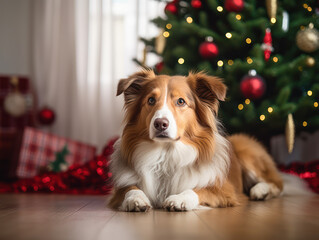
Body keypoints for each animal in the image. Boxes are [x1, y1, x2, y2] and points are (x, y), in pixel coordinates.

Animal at [109, 69, 282, 212]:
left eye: (181, 101)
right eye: (151, 100)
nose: (160, 124)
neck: (166, 153)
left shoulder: (225, 190)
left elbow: (198, 189)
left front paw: (179, 199)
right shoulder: (120, 189)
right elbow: (130, 189)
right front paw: (136, 199)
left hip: (244, 147)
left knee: (277, 183)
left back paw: (260, 190)